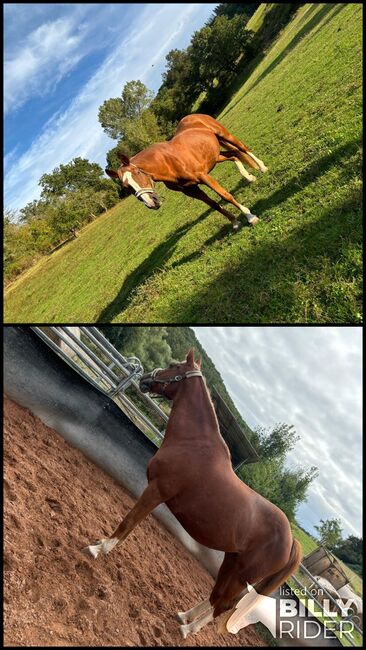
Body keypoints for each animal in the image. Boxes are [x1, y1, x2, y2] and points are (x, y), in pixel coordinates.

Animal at [84, 346, 302, 636]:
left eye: (173, 366)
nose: (145, 379)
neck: (194, 443)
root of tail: (290, 540)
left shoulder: (156, 491)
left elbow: (128, 523)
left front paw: (98, 549)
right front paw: (100, 544)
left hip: (242, 575)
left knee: (225, 604)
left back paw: (189, 629)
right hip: (231, 562)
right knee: (217, 596)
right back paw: (183, 616)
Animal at [104, 114, 268, 230]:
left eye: (137, 173)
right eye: (127, 188)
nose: (151, 203)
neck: (167, 162)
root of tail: (194, 116)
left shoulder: (204, 177)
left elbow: (225, 196)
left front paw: (250, 217)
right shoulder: (191, 190)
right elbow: (214, 204)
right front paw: (235, 222)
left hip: (224, 135)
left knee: (243, 148)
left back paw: (262, 167)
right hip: (215, 156)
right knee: (233, 155)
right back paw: (249, 177)